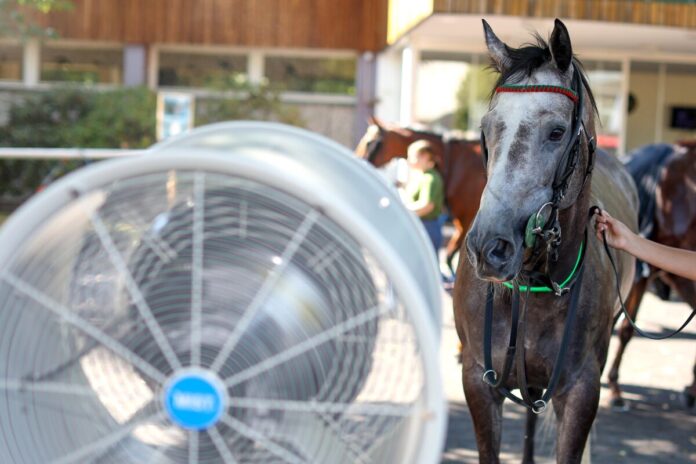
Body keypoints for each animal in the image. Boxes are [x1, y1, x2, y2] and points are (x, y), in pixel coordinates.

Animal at [454, 19, 638, 463]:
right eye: (486, 129)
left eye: (556, 132)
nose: (488, 247)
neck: (532, 290)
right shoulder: (478, 380)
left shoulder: (581, 391)